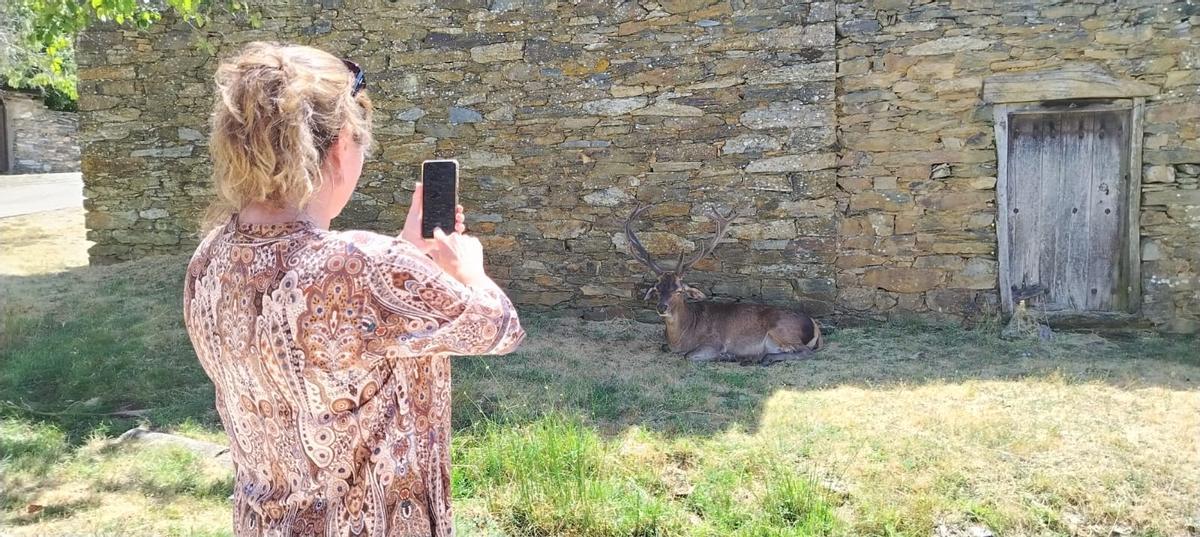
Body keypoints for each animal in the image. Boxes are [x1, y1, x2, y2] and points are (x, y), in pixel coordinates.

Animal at [625, 205, 823, 366]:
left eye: (679, 290)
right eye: (657, 289)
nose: (661, 307)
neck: (681, 337)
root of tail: (815, 326)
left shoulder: (714, 342)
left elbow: (688, 356)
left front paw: (726, 355)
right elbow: (663, 347)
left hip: (782, 330)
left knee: (805, 352)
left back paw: (758, 358)